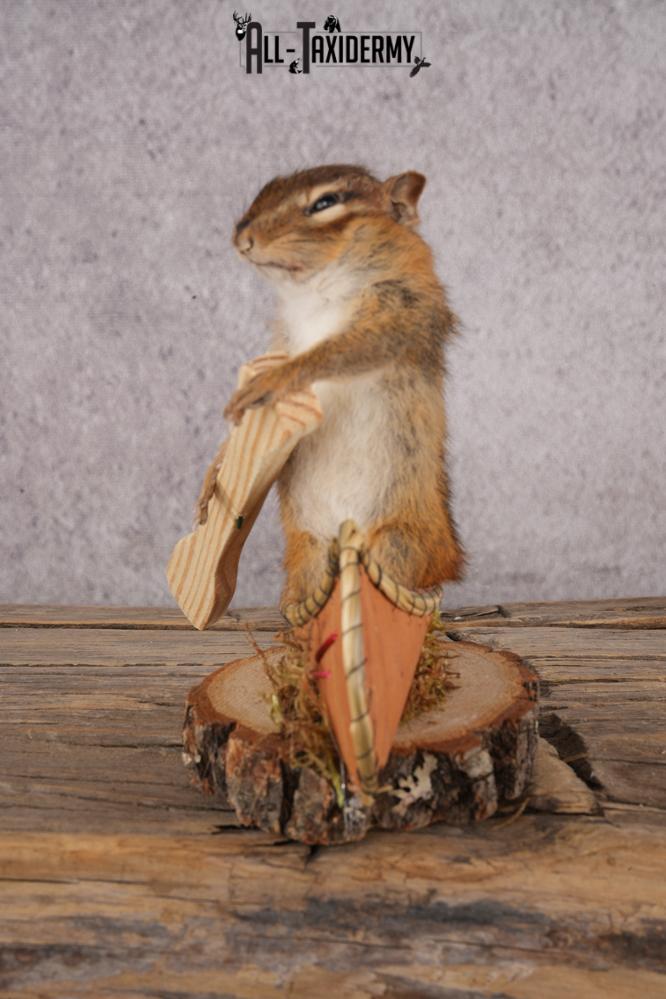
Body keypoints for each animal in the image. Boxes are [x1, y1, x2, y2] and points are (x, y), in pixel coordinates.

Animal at [199, 164, 464, 608]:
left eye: (326, 202)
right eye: (267, 188)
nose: (242, 239)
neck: (315, 291)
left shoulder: (402, 310)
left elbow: (342, 350)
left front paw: (274, 380)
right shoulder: (282, 338)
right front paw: (212, 475)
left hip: (394, 544)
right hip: (309, 550)